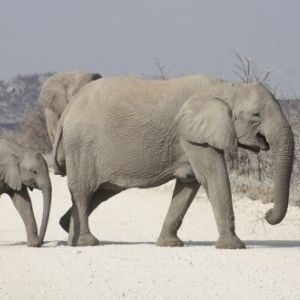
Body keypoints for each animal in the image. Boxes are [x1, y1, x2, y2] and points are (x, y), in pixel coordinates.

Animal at [53, 75, 292, 248]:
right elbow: (213, 176)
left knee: (103, 191)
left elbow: (189, 184)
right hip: (81, 145)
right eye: (256, 115)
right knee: (84, 191)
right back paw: (86, 242)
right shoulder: (191, 136)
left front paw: (169, 244)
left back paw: (67, 231)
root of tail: (67, 110)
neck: (224, 87)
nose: (267, 215)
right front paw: (234, 246)